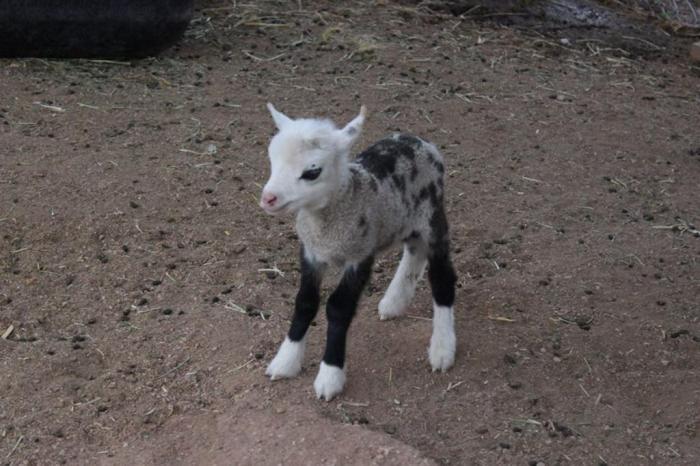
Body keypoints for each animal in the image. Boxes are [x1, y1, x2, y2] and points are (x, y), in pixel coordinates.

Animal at [260, 103, 456, 400]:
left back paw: (443, 348)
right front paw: (286, 361)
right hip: (403, 220)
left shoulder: (360, 254)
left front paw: (330, 375)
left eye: (312, 171)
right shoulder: (311, 252)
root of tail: (418, 140)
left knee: (442, 277)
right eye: (273, 159)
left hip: (432, 215)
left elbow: (338, 308)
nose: (268, 198)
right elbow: (305, 302)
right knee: (413, 252)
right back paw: (393, 302)